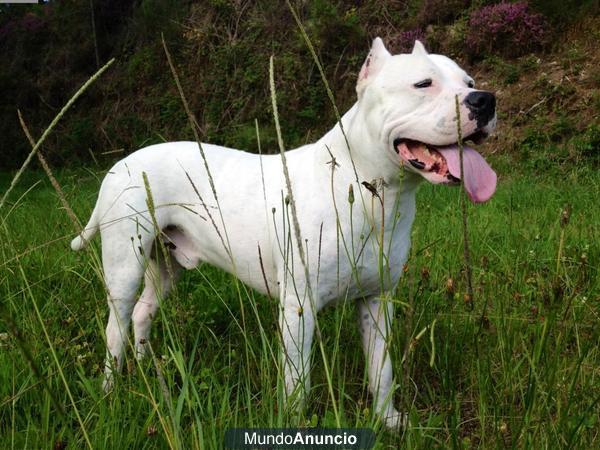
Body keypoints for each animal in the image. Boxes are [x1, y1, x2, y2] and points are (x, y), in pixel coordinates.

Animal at [71, 39, 496, 428]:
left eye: (469, 81)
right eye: (423, 83)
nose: (485, 100)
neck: (369, 191)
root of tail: (122, 162)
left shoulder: (377, 301)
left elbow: (382, 369)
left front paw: (387, 420)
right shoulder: (298, 308)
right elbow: (297, 380)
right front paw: (293, 423)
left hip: (165, 267)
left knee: (142, 313)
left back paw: (146, 371)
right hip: (124, 267)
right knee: (115, 327)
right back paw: (110, 391)